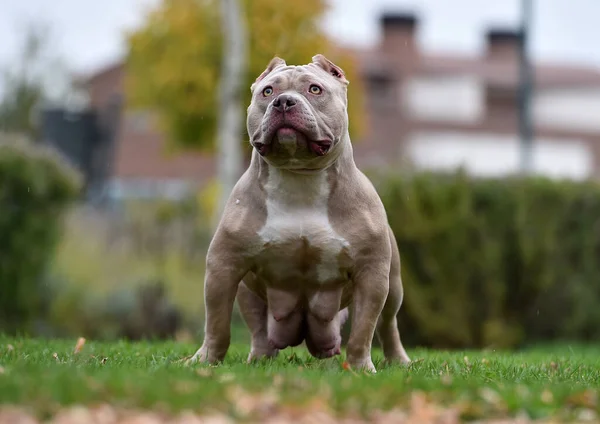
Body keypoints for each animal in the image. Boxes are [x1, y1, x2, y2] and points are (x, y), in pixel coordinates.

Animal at [190, 53, 410, 372]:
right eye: (267, 91)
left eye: (315, 89)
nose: (283, 101)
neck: (299, 176)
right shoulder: (224, 266)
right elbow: (217, 323)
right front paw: (206, 360)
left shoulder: (372, 274)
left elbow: (363, 330)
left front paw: (360, 367)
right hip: (247, 291)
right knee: (258, 329)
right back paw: (259, 357)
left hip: (393, 286)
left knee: (387, 324)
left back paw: (399, 360)